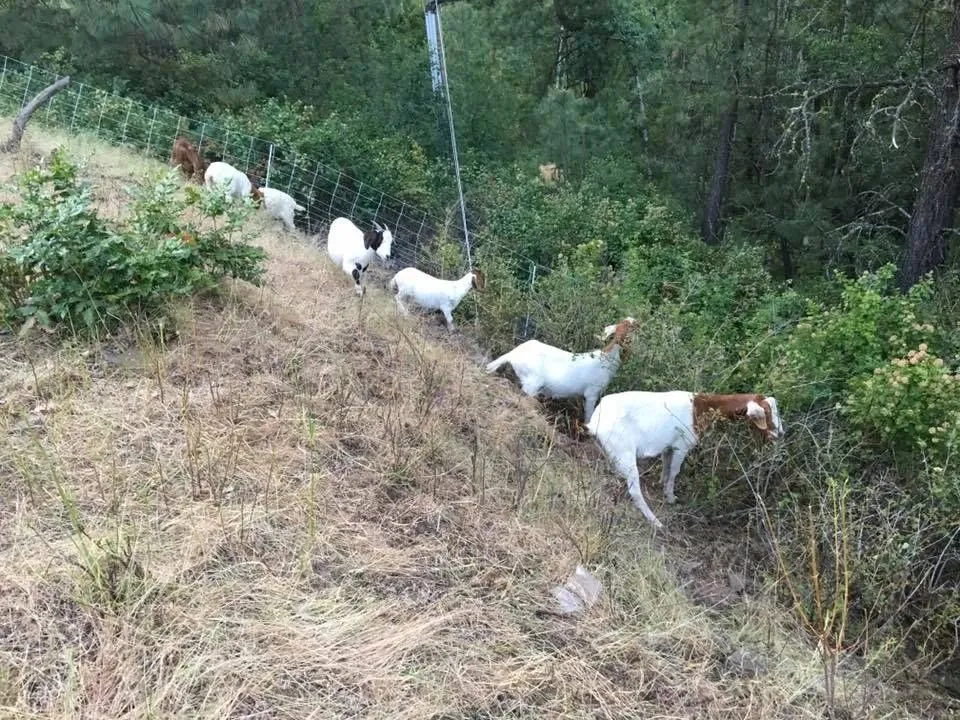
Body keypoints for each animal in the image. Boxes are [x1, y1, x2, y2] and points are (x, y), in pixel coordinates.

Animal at [486, 317, 637, 422]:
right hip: (532, 382)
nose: (636, 321)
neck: (606, 360)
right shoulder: (592, 392)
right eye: (632, 327)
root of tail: (513, 354)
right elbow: (589, 414)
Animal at [585, 391, 784, 529]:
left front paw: (662, 484)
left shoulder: (668, 446)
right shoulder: (682, 445)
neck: (700, 408)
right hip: (624, 452)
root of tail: (595, 422)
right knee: (635, 490)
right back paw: (655, 522)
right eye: (766, 413)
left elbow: (666, 466)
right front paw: (671, 497)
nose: (780, 434)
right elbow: (675, 471)